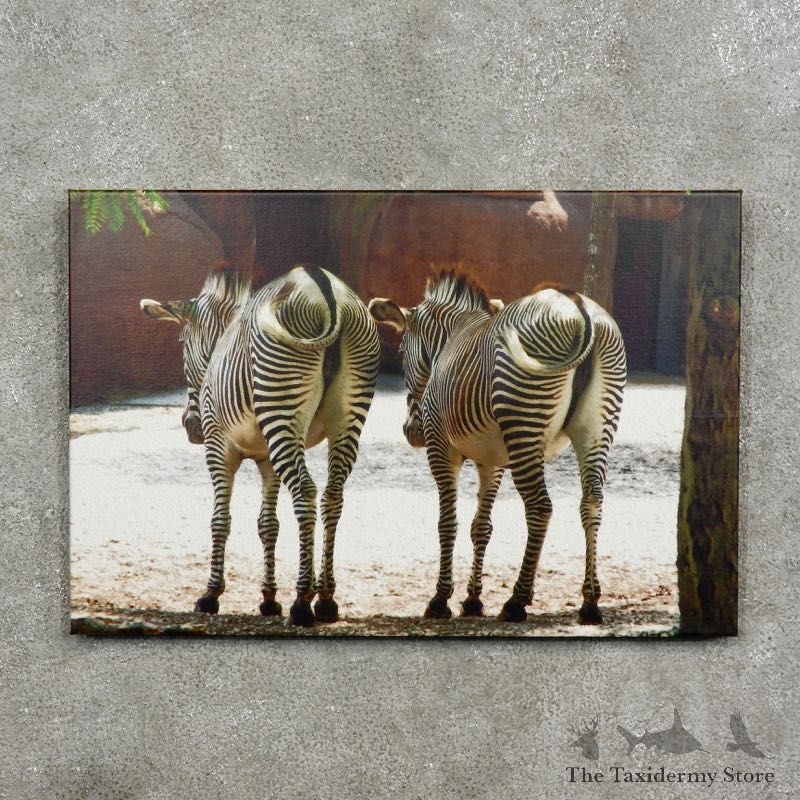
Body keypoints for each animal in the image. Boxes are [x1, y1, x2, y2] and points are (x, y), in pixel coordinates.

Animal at [140, 265, 380, 626]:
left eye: (182, 342)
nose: (191, 428)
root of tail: (325, 288)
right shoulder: (267, 459)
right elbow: (268, 525)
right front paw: (268, 599)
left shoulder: (219, 446)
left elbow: (220, 520)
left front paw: (211, 595)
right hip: (347, 417)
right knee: (332, 497)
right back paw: (325, 599)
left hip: (281, 408)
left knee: (305, 492)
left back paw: (301, 602)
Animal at [369, 269, 626, 624]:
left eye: (401, 351)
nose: (411, 433)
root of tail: (579, 307)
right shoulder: (493, 461)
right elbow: (482, 527)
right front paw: (472, 600)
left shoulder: (441, 447)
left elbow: (447, 523)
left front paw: (441, 599)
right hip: (597, 427)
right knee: (592, 502)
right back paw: (589, 602)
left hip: (524, 422)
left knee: (540, 507)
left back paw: (516, 602)